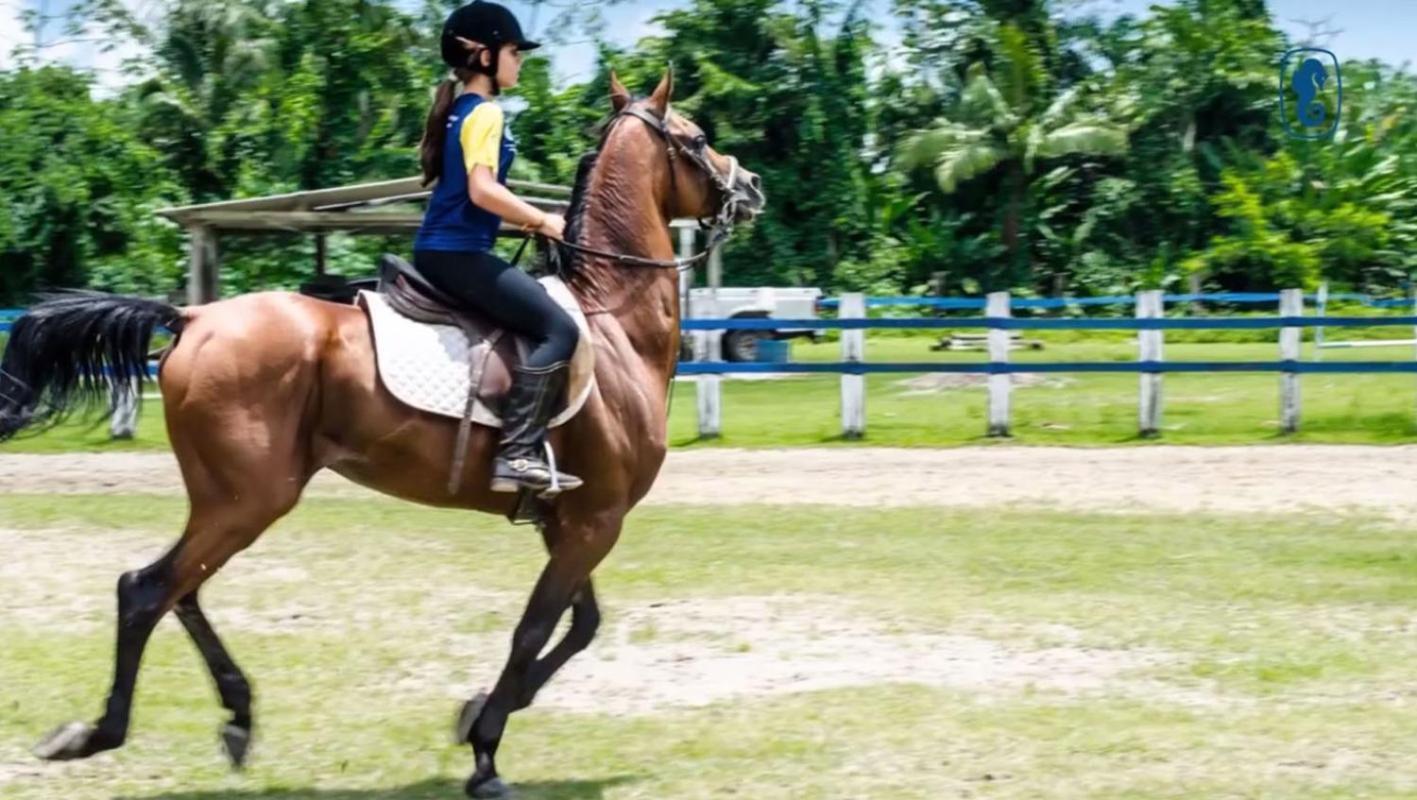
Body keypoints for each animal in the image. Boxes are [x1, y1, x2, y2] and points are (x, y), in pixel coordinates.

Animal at [2, 71, 765, 792]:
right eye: (697, 139)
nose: (751, 184)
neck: (612, 325)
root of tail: (192, 318)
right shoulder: (593, 521)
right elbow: (535, 630)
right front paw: (485, 752)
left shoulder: (567, 519)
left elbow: (580, 626)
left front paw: (477, 715)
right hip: (249, 499)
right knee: (147, 590)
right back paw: (99, 733)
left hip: (225, 500)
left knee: (179, 590)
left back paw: (236, 718)